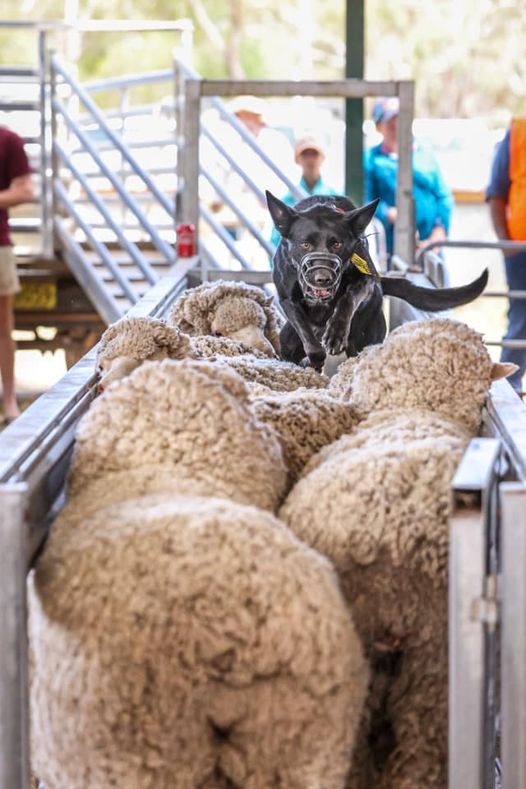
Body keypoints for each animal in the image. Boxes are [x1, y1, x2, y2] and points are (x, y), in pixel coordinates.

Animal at [268, 191, 490, 370]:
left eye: (336, 244)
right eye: (305, 244)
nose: (322, 278)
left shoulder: (365, 280)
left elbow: (347, 299)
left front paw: (336, 332)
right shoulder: (288, 300)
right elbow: (309, 339)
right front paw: (315, 358)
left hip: (364, 339)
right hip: (287, 340)